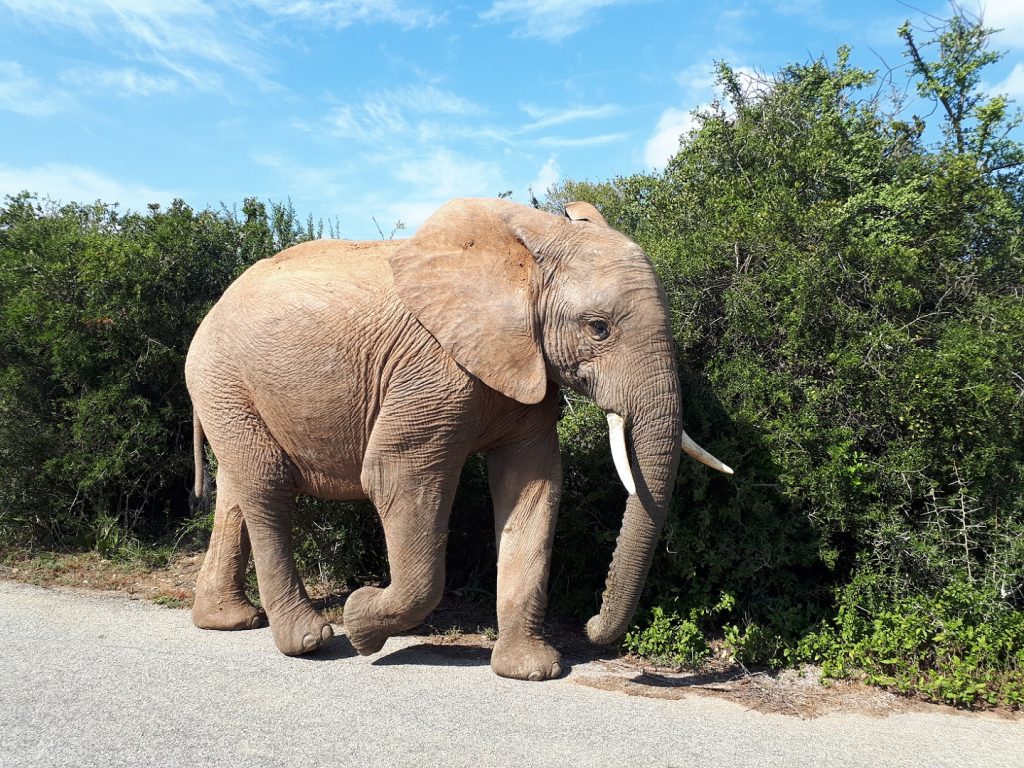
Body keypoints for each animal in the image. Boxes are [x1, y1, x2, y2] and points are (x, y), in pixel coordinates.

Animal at [184, 196, 729, 679]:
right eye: (598, 328)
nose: (593, 625)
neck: (532, 246)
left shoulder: (525, 366)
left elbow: (533, 484)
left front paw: (530, 671)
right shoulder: (431, 368)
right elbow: (396, 476)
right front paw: (361, 624)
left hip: (226, 391)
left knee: (237, 490)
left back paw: (229, 621)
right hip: (222, 378)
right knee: (267, 486)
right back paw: (309, 641)